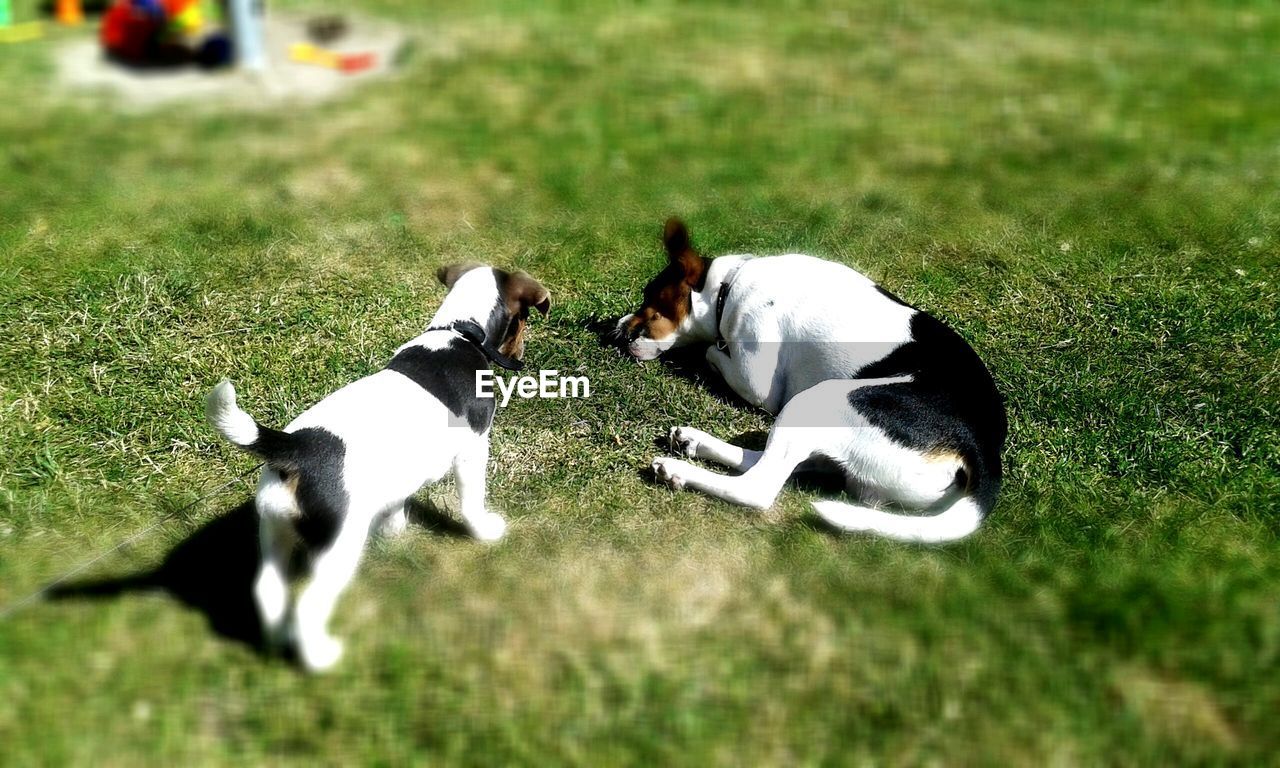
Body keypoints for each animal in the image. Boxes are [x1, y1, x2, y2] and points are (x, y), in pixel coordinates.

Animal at [204, 264, 550, 670]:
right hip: (337, 546)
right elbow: (472, 500)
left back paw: (276, 644)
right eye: (524, 320)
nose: (522, 354)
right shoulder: (473, 449)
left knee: (267, 590)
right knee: (308, 605)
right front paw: (484, 531)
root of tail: (295, 449)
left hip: (275, 527)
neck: (457, 331)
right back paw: (319, 656)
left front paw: (395, 531)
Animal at [614, 216, 1003, 542]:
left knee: (757, 486)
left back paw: (677, 468)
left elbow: (711, 350)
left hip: (818, 400)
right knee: (773, 462)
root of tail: (983, 456)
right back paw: (693, 441)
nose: (618, 332)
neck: (728, 285)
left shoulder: (757, 385)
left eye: (652, 303)